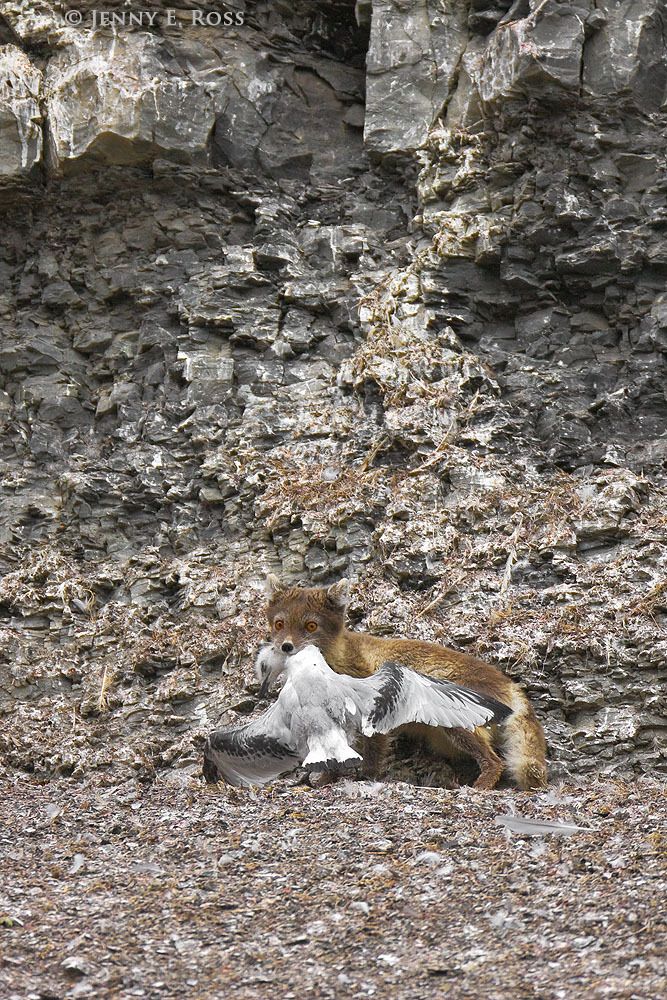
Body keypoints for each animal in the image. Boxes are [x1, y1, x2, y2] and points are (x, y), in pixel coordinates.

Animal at [260, 576, 547, 790]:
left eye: (311, 626)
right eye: (279, 624)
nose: (286, 647)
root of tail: (509, 684)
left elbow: (372, 753)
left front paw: (367, 778)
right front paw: (328, 780)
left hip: (458, 723)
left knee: (494, 761)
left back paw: (480, 786)